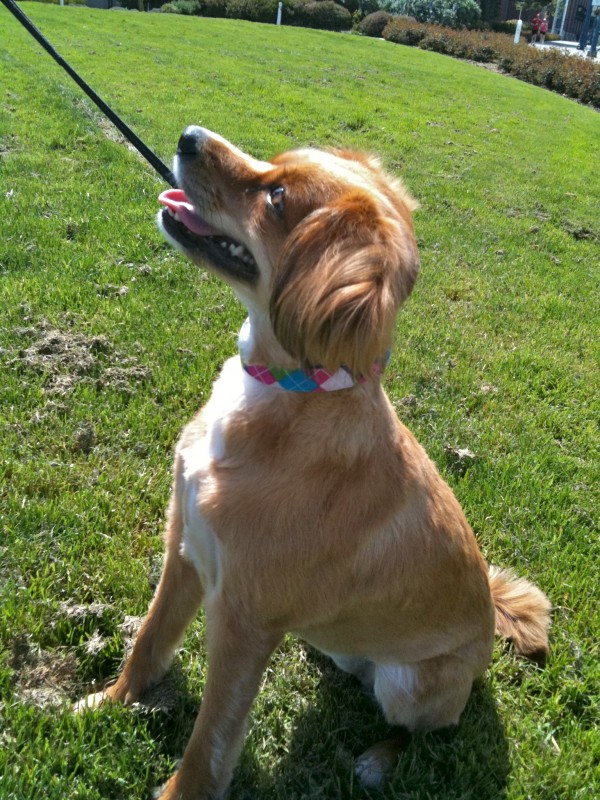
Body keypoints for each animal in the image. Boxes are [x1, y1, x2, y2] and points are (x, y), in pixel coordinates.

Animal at [77, 128, 552, 796]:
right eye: (274, 163)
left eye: (277, 197)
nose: (189, 138)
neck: (289, 392)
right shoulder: (185, 545)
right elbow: (149, 640)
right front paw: (109, 703)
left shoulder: (242, 621)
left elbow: (210, 739)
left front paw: (178, 787)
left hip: (412, 684)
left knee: (427, 731)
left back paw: (378, 759)